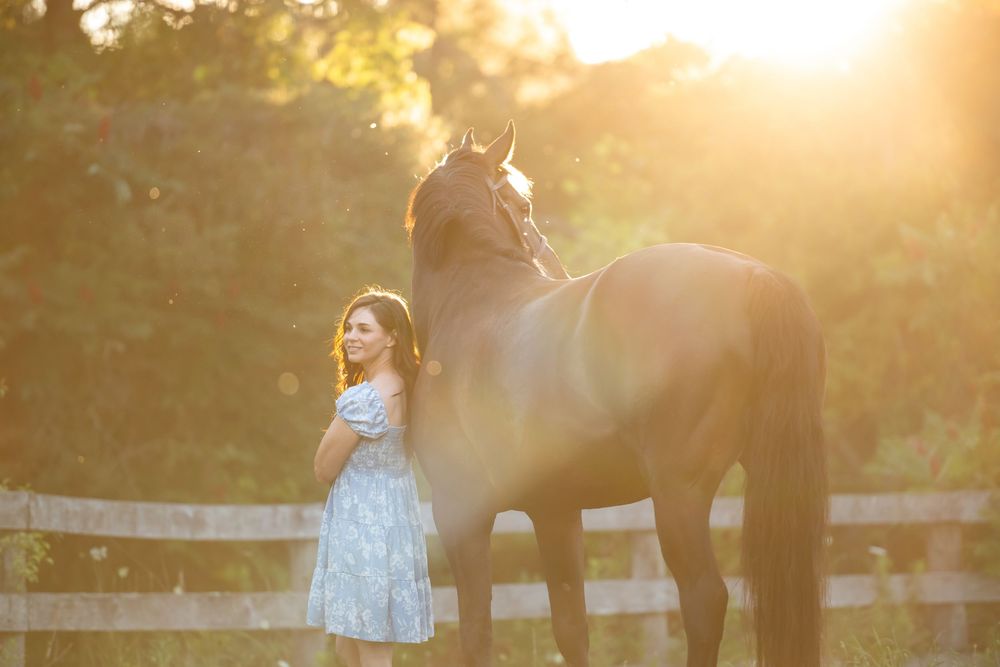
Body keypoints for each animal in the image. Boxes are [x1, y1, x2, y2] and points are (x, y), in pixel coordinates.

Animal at [404, 121, 827, 667]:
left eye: (524, 203)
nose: (553, 266)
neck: (472, 302)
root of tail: (756, 276)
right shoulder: (556, 510)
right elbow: (570, 627)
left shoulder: (461, 511)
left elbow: (476, 631)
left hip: (678, 494)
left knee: (704, 598)